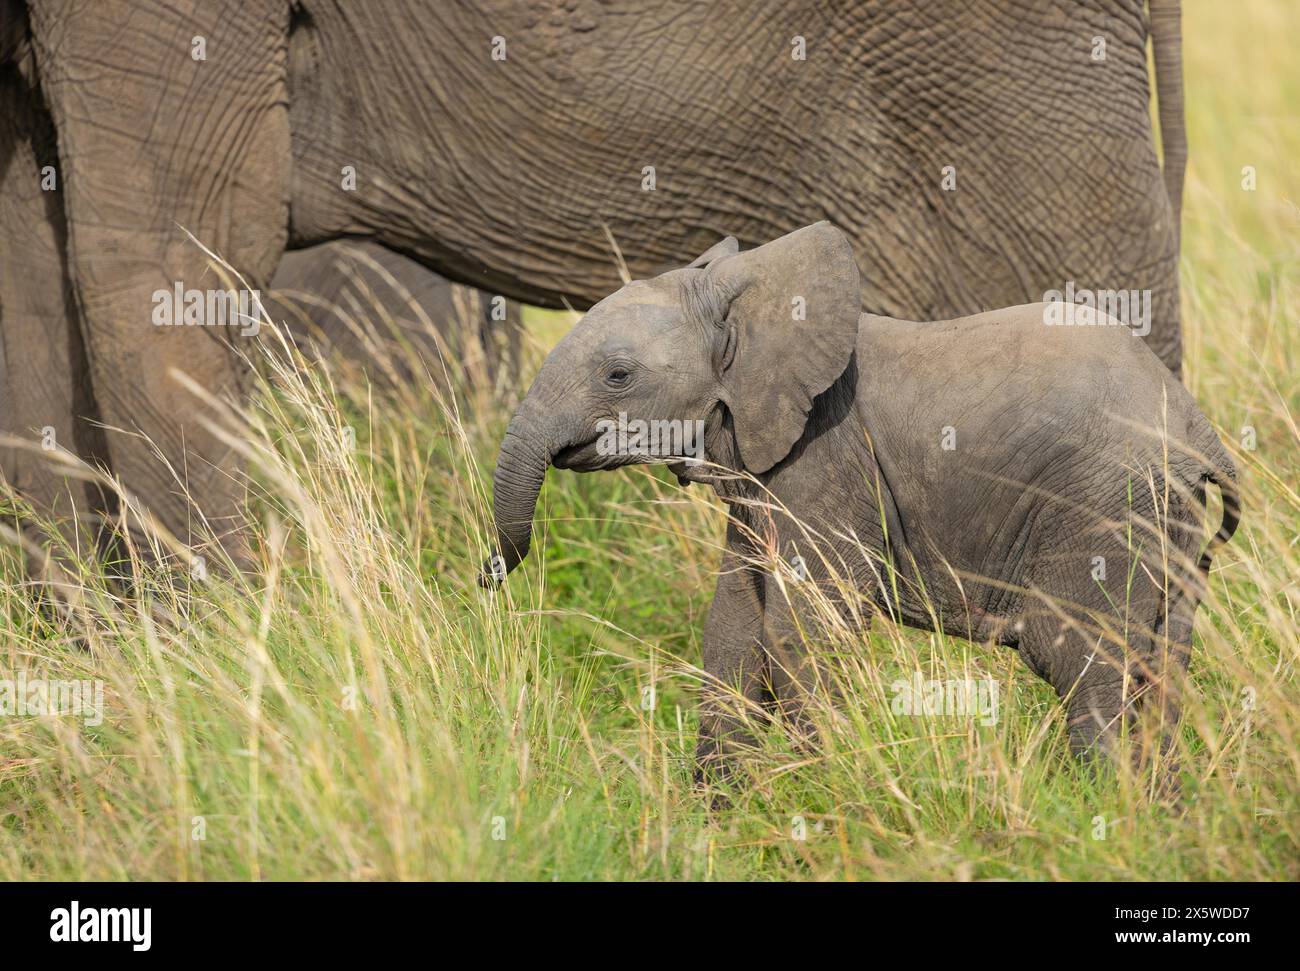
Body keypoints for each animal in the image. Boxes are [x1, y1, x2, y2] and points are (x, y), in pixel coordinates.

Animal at [482, 223, 1239, 790]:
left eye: (618, 375)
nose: (491, 573)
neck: (753, 305)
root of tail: (1200, 428)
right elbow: (732, 623)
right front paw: (717, 819)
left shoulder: (825, 453)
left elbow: (804, 626)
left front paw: (818, 800)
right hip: (1165, 519)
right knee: (1161, 662)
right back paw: (1162, 806)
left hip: (1105, 501)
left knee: (1077, 654)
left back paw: (1109, 807)